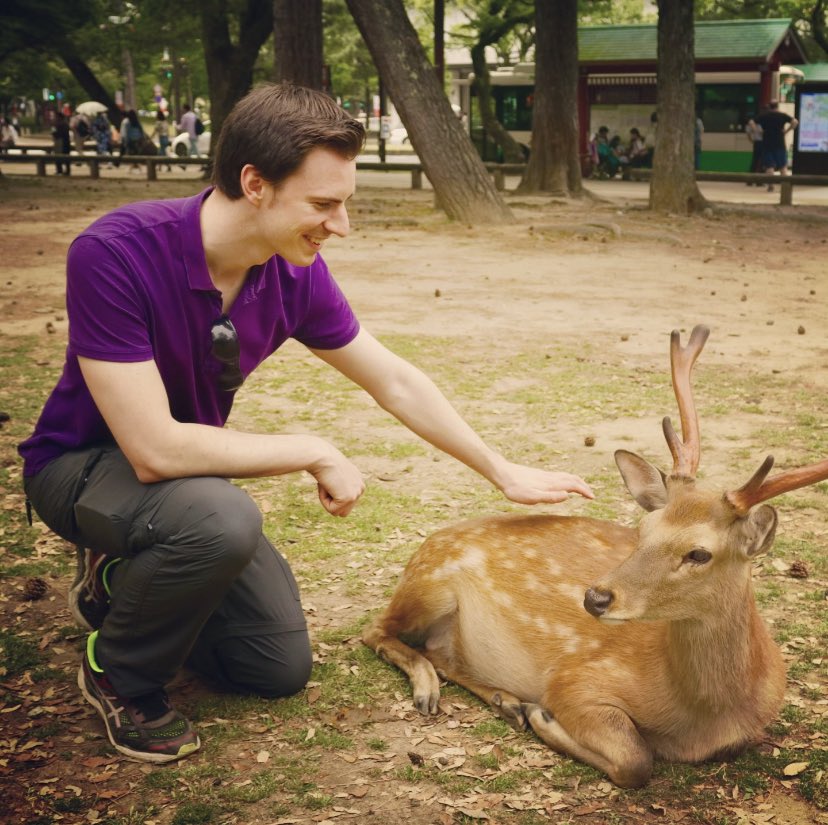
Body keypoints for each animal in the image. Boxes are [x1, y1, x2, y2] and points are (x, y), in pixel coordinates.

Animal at [363, 325, 828, 788]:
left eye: (699, 553)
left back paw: (504, 700)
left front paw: (529, 711)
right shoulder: (576, 678)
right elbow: (635, 759)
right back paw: (438, 691)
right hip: (430, 582)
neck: (701, 719)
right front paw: (543, 716)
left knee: (438, 651)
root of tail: (429, 543)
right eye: (643, 528)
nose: (595, 598)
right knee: (376, 631)